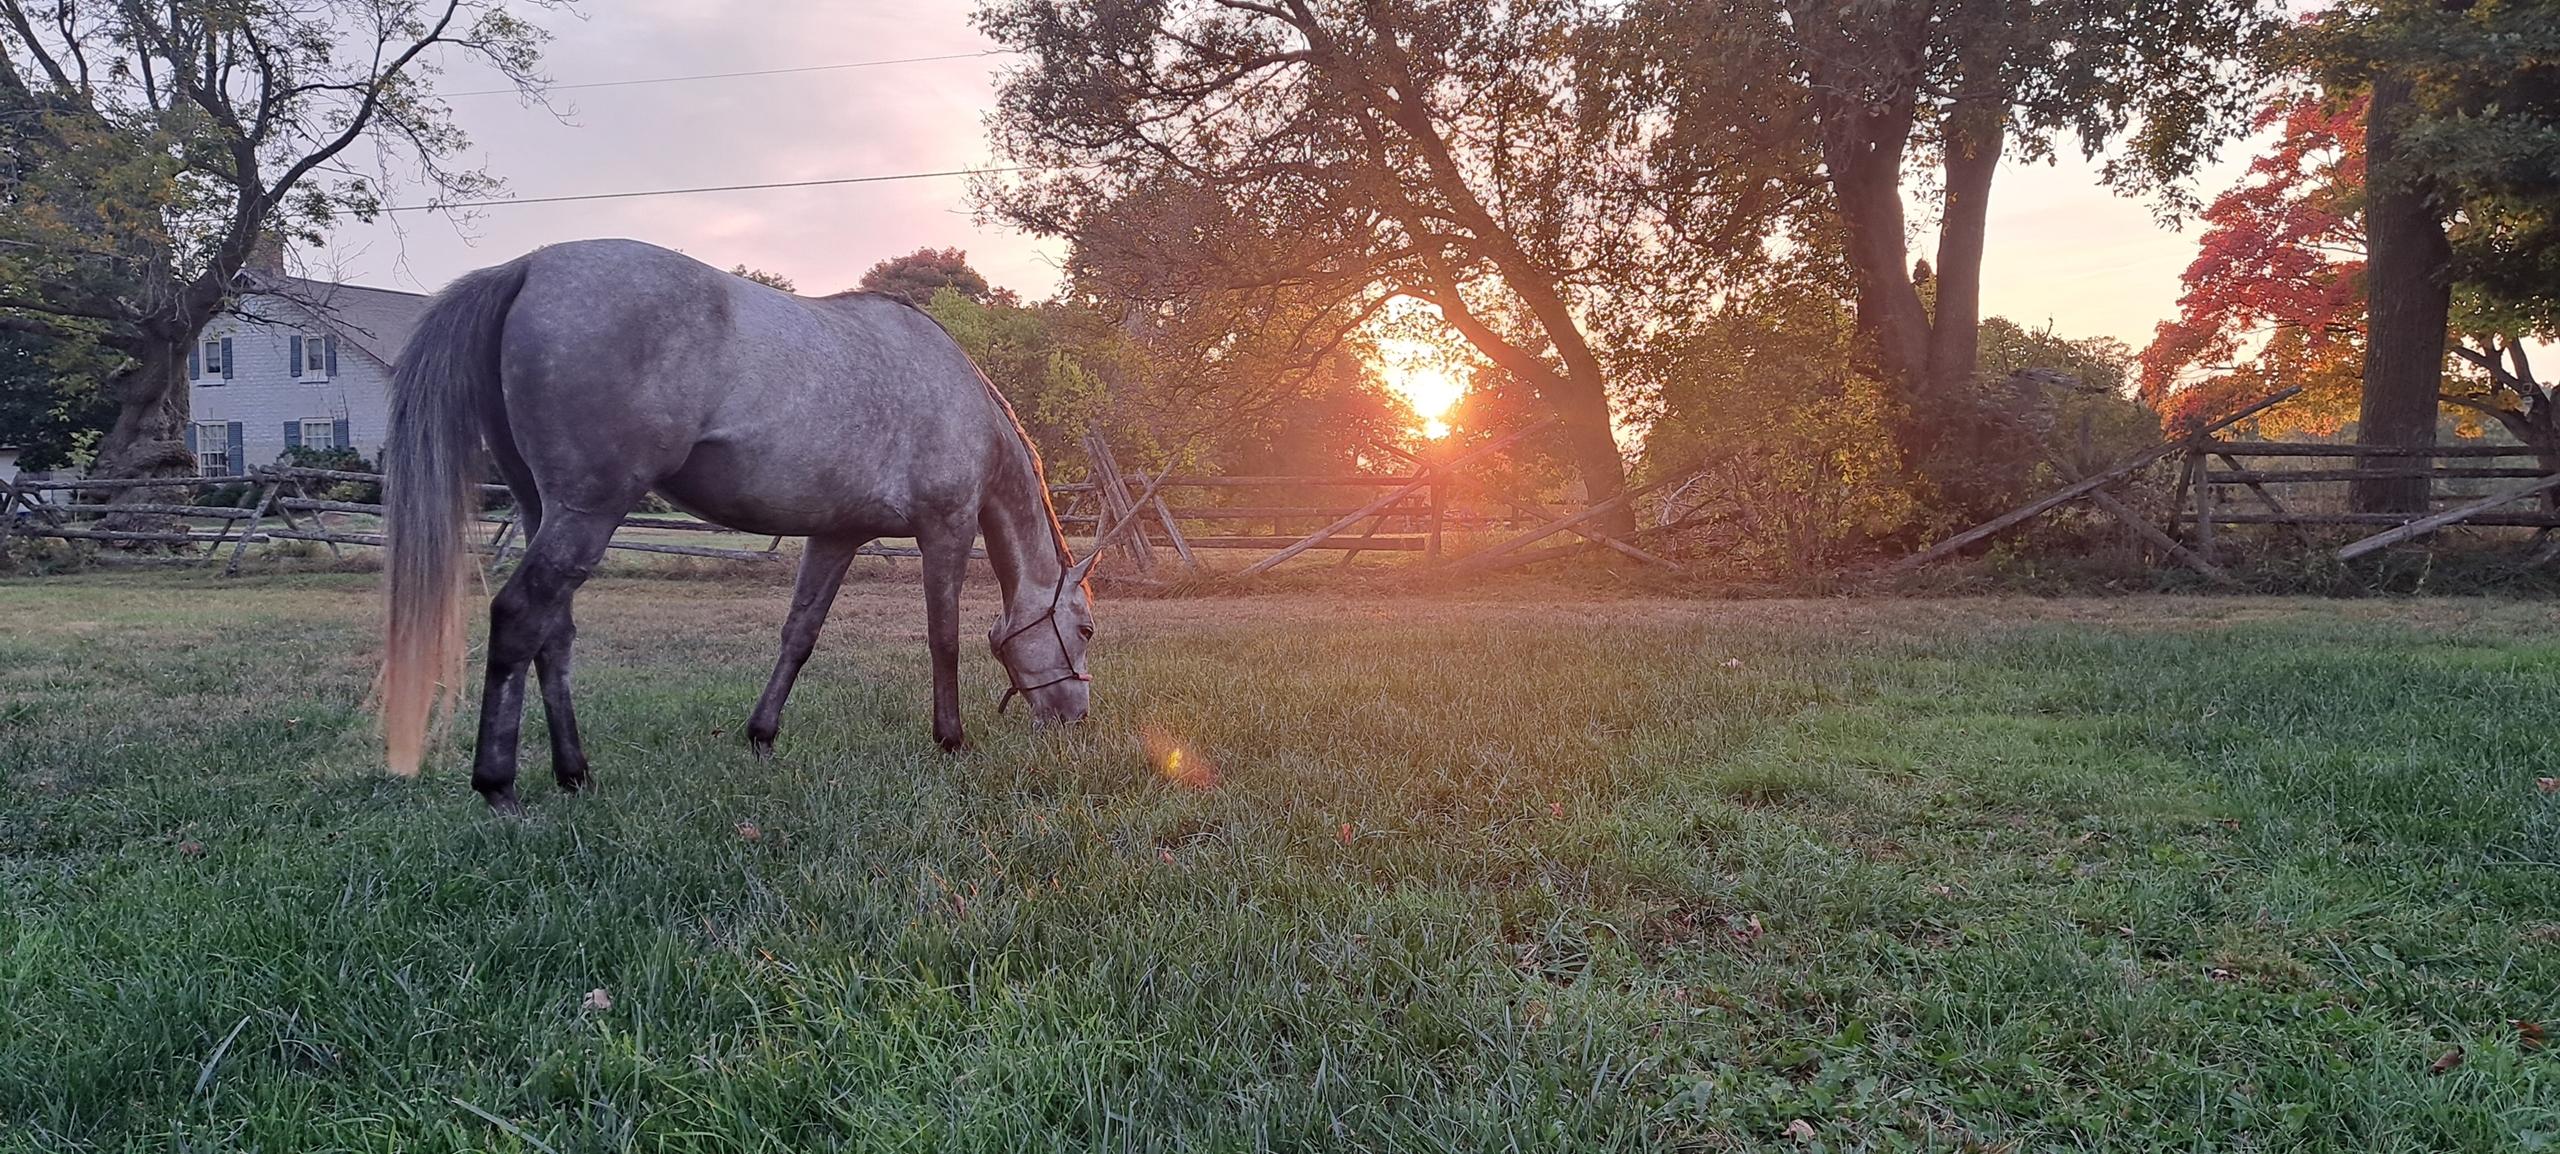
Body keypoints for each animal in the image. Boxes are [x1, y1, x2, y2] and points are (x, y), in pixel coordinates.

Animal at [379, 238, 1131, 810]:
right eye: (1086, 630)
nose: (1075, 718)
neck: (958, 396)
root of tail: (526, 267)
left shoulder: (836, 537)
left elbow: (799, 635)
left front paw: (762, 735)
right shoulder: (943, 530)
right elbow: (942, 640)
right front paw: (951, 739)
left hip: (548, 511)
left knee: (553, 634)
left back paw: (575, 773)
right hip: (588, 511)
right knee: (518, 618)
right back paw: (498, 786)